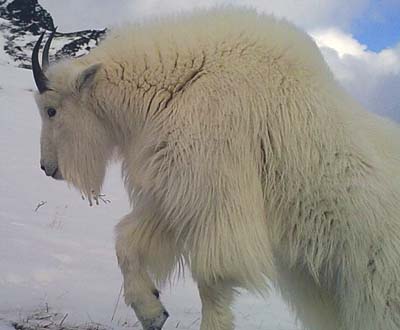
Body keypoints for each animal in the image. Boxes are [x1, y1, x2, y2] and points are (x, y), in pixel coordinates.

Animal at [32, 7, 400, 330]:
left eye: (51, 110)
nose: (47, 167)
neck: (178, 84)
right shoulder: (174, 194)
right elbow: (126, 242)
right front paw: (152, 311)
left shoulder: (214, 193)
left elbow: (213, 279)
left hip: (378, 285)